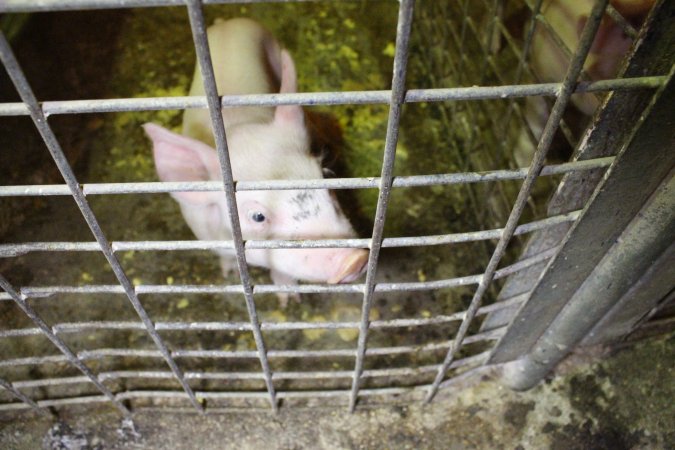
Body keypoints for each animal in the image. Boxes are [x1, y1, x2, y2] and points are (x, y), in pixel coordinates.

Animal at [143, 18, 372, 306]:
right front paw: (230, 273)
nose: (355, 259)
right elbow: (227, 257)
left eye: (327, 177)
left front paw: (289, 301)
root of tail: (229, 22)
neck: (241, 126)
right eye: (258, 216)